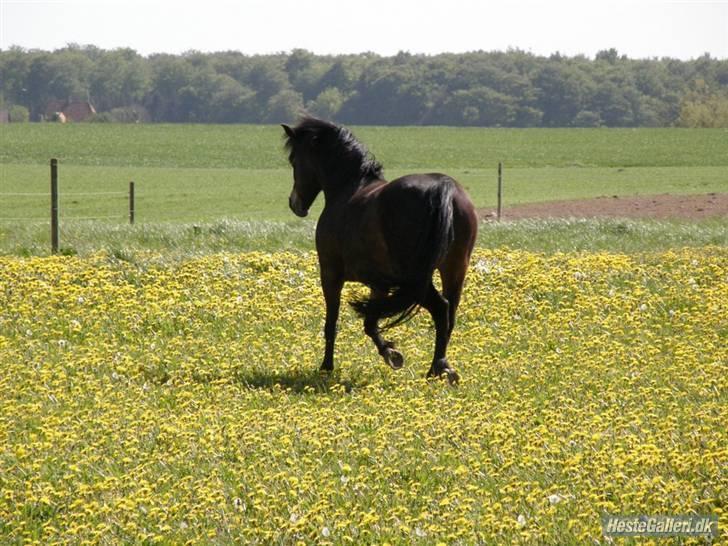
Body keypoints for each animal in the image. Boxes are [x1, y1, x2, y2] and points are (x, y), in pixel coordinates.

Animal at [280, 118, 478, 382]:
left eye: (294, 160)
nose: (295, 204)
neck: (349, 189)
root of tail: (443, 188)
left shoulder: (330, 274)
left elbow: (332, 323)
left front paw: (326, 367)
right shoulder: (379, 283)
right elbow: (370, 323)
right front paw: (391, 354)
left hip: (416, 278)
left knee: (441, 308)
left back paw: (437, 369)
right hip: (454, 269)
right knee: (449, 314)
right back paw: (441, 368)